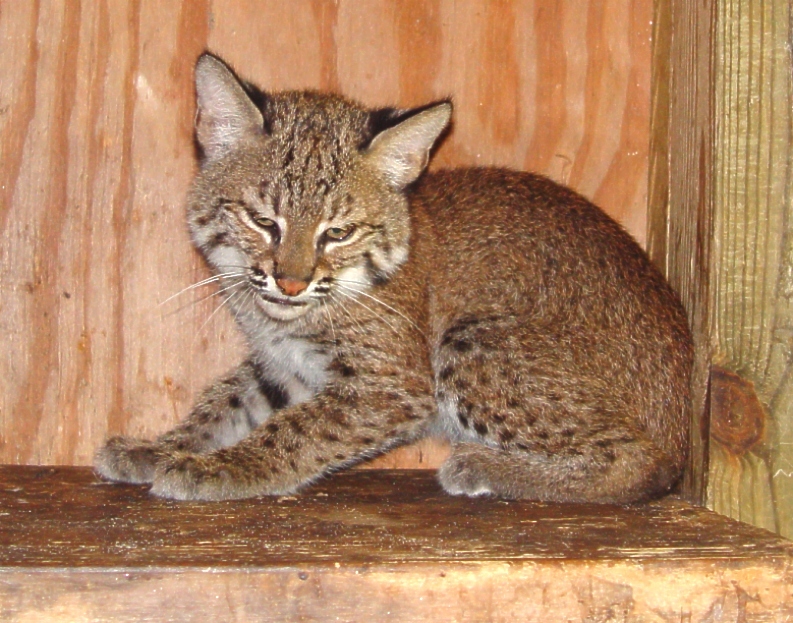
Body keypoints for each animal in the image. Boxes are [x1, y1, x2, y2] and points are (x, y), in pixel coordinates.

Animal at [94, 52, 693, 503]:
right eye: (264, 222)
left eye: (337, 233)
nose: (290, 283)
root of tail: (682, 412)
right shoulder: (284, 365)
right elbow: (228, 402)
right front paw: (159, 447)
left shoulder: (395, 388)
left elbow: (298, 430)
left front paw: (219, 469)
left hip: (472, 336)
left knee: (647, 465)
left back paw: (485, 467)